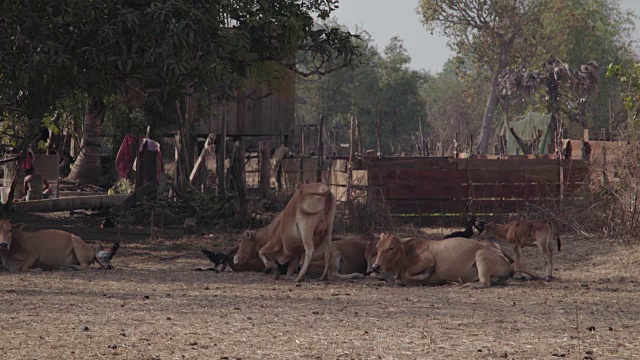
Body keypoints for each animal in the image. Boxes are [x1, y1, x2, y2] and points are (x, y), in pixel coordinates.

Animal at [370, 233, 540, 290]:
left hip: (481, 256)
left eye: (391, 248)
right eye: (377, 247)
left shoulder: (428, 260)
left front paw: (426, 274)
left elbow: (411, 273)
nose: (375, 266)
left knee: (485, 283)